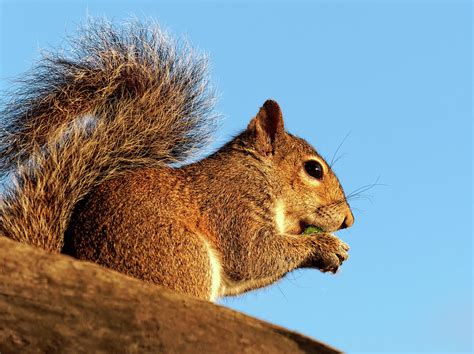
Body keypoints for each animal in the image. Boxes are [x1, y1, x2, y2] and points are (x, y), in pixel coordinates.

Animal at [0, 19, 354, 302]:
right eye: (313, 169)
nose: (348, 221)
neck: (258, 173)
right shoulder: (232, 205)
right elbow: (254, 254)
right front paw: (324, 245)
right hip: (182, 256)